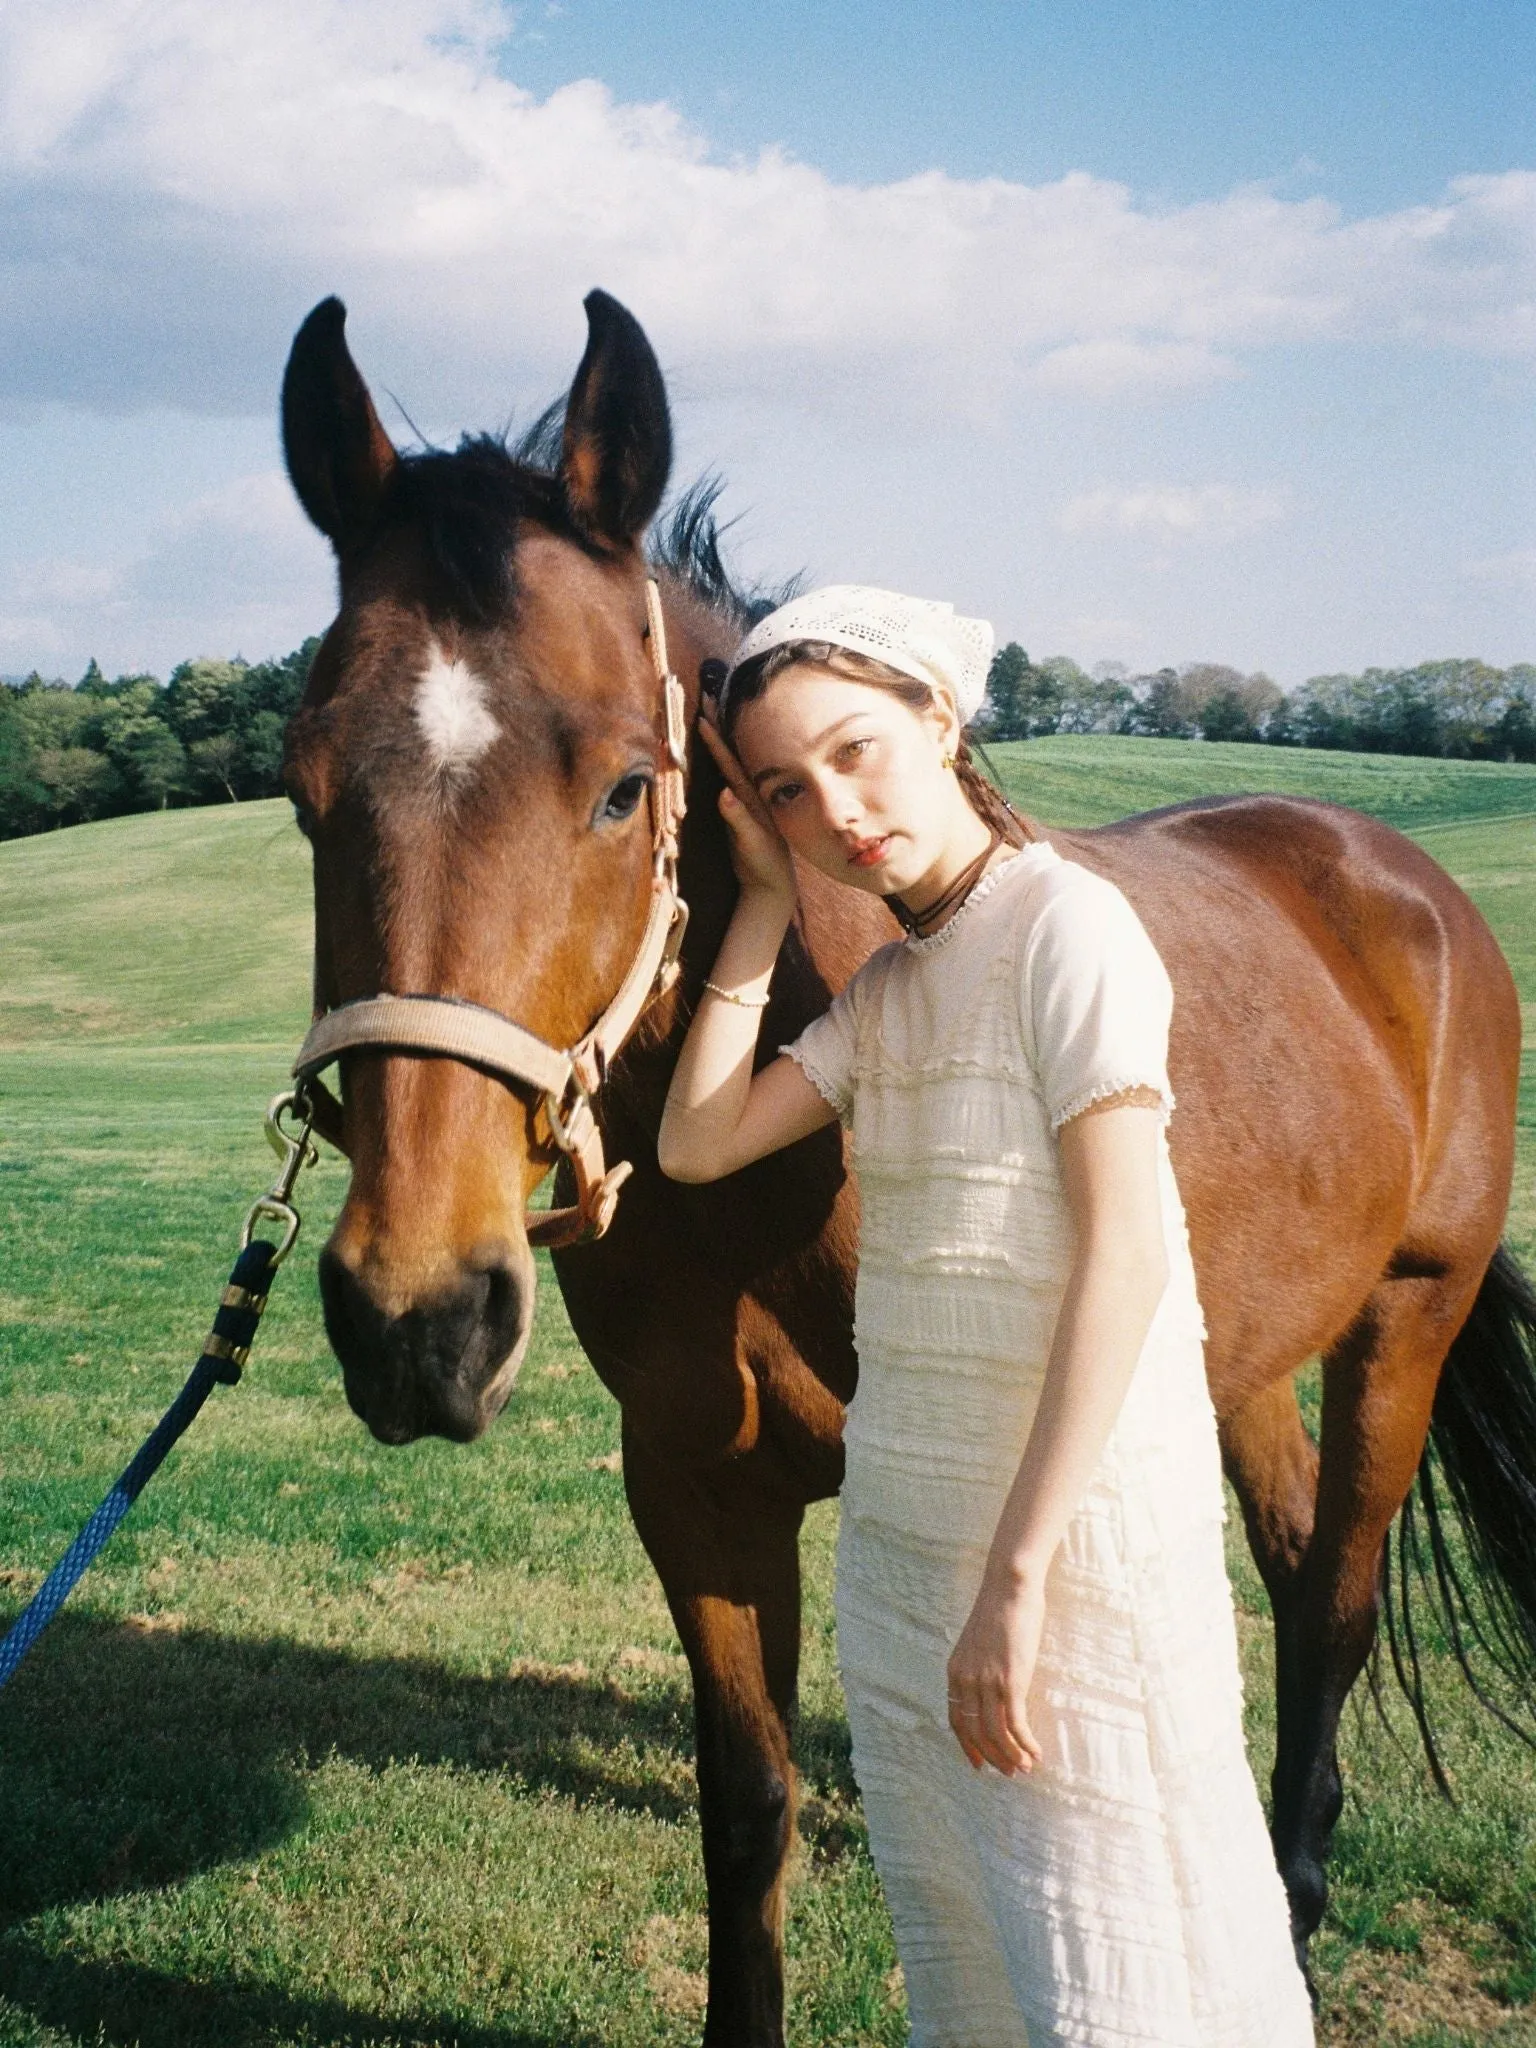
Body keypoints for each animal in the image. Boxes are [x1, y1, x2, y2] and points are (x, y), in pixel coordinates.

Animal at [276, 292, 1536, 2048]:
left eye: (623, 787)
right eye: (305, 791)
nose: (417, 1321)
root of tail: (1390, 876)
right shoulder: (695, 1488)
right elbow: (751, 1809)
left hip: (1401, 1326)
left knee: (1338, 1606)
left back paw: (1287, 1902)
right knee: (1290, 1578)